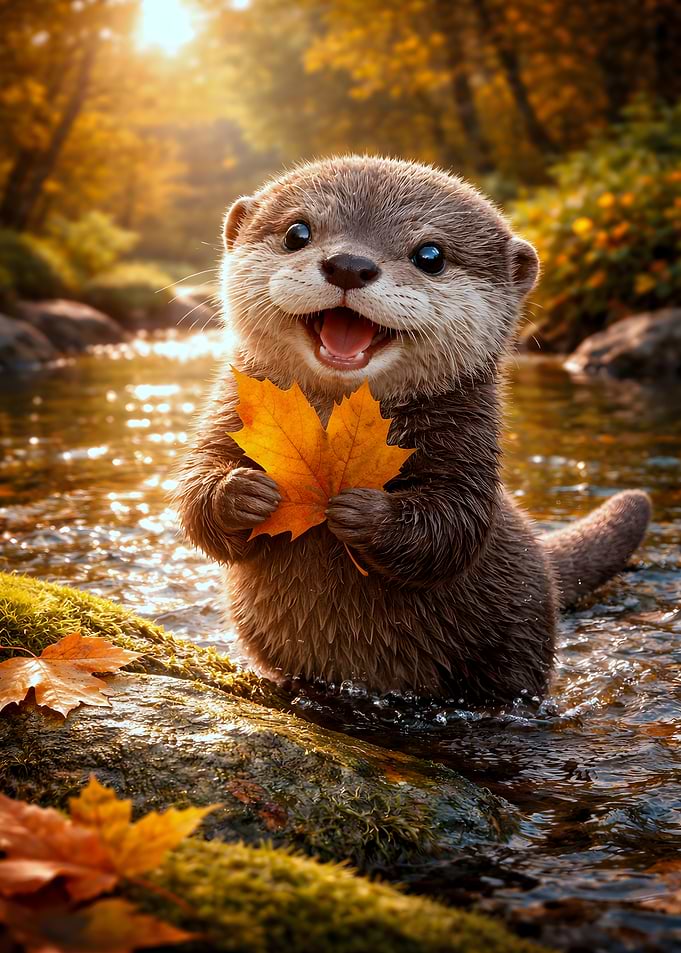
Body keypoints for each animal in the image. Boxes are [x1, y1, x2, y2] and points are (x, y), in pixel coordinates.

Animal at [175, 156, 651, 705]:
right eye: (297, 232)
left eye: (430, 255)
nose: (350, 264)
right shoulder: (226, 413)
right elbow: (194, 491)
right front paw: (241, 493)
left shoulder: (467, 448)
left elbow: (457, 525)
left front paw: (364, 512)